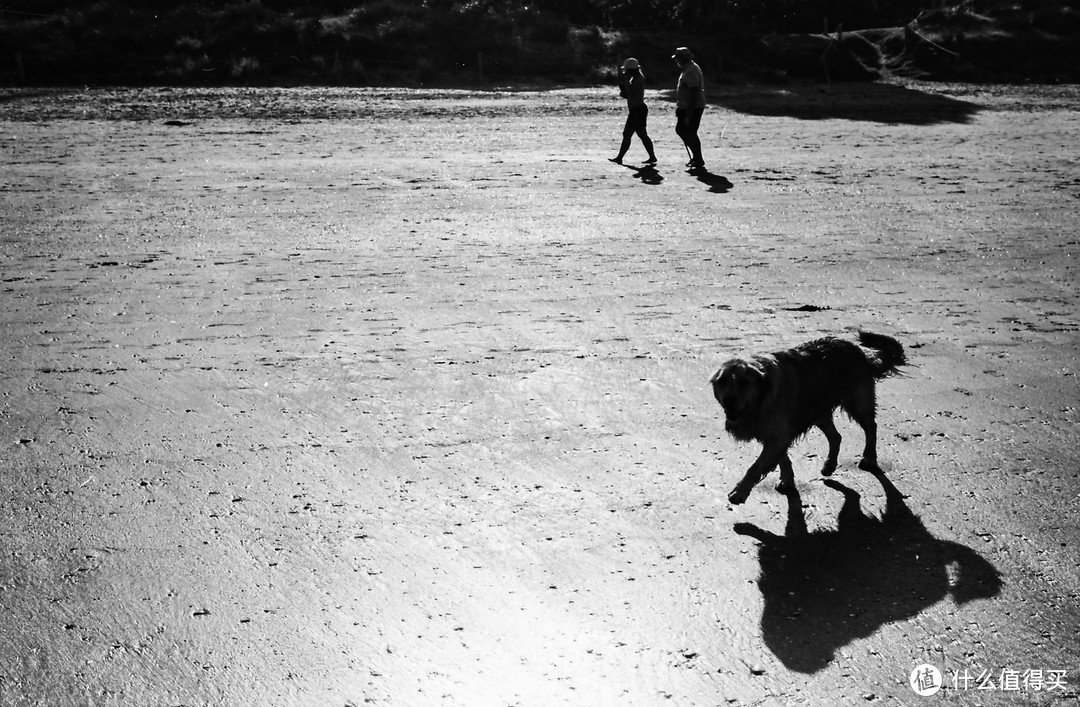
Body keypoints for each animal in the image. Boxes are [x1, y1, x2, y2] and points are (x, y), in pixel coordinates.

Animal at [712, 332, 907, 502]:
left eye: (744, 382)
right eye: (722, 382)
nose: (728, 400)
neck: (763, 395)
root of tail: (858, 350)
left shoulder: (777, 434)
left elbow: (755, 467)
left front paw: (739, 492)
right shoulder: (776, 434)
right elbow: (783, 459)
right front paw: (787, 480)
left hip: (857, 401)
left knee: (871, 427)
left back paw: (869, 458)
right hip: (818, 411)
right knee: (836, 436)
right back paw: (829, 465)